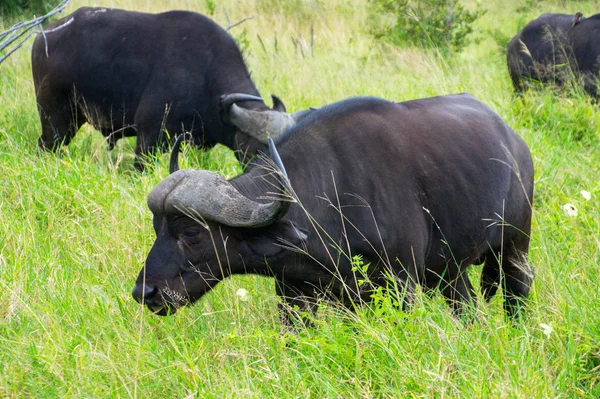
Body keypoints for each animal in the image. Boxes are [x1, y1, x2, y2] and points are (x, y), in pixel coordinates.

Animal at [31, 7, 314, 167]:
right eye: (260, 149)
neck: (205, 80)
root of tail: (44, 36)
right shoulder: (148, 138)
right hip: (56, 120)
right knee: (46, 146)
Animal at [132, 95, 536, 326]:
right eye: (157, 229)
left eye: (191, 233)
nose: (145, 292)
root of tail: (515, 142)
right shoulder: (295, 294)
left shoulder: (399, 283)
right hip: (449, 271)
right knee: (467, 308)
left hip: (515, 246)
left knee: (518, 290)